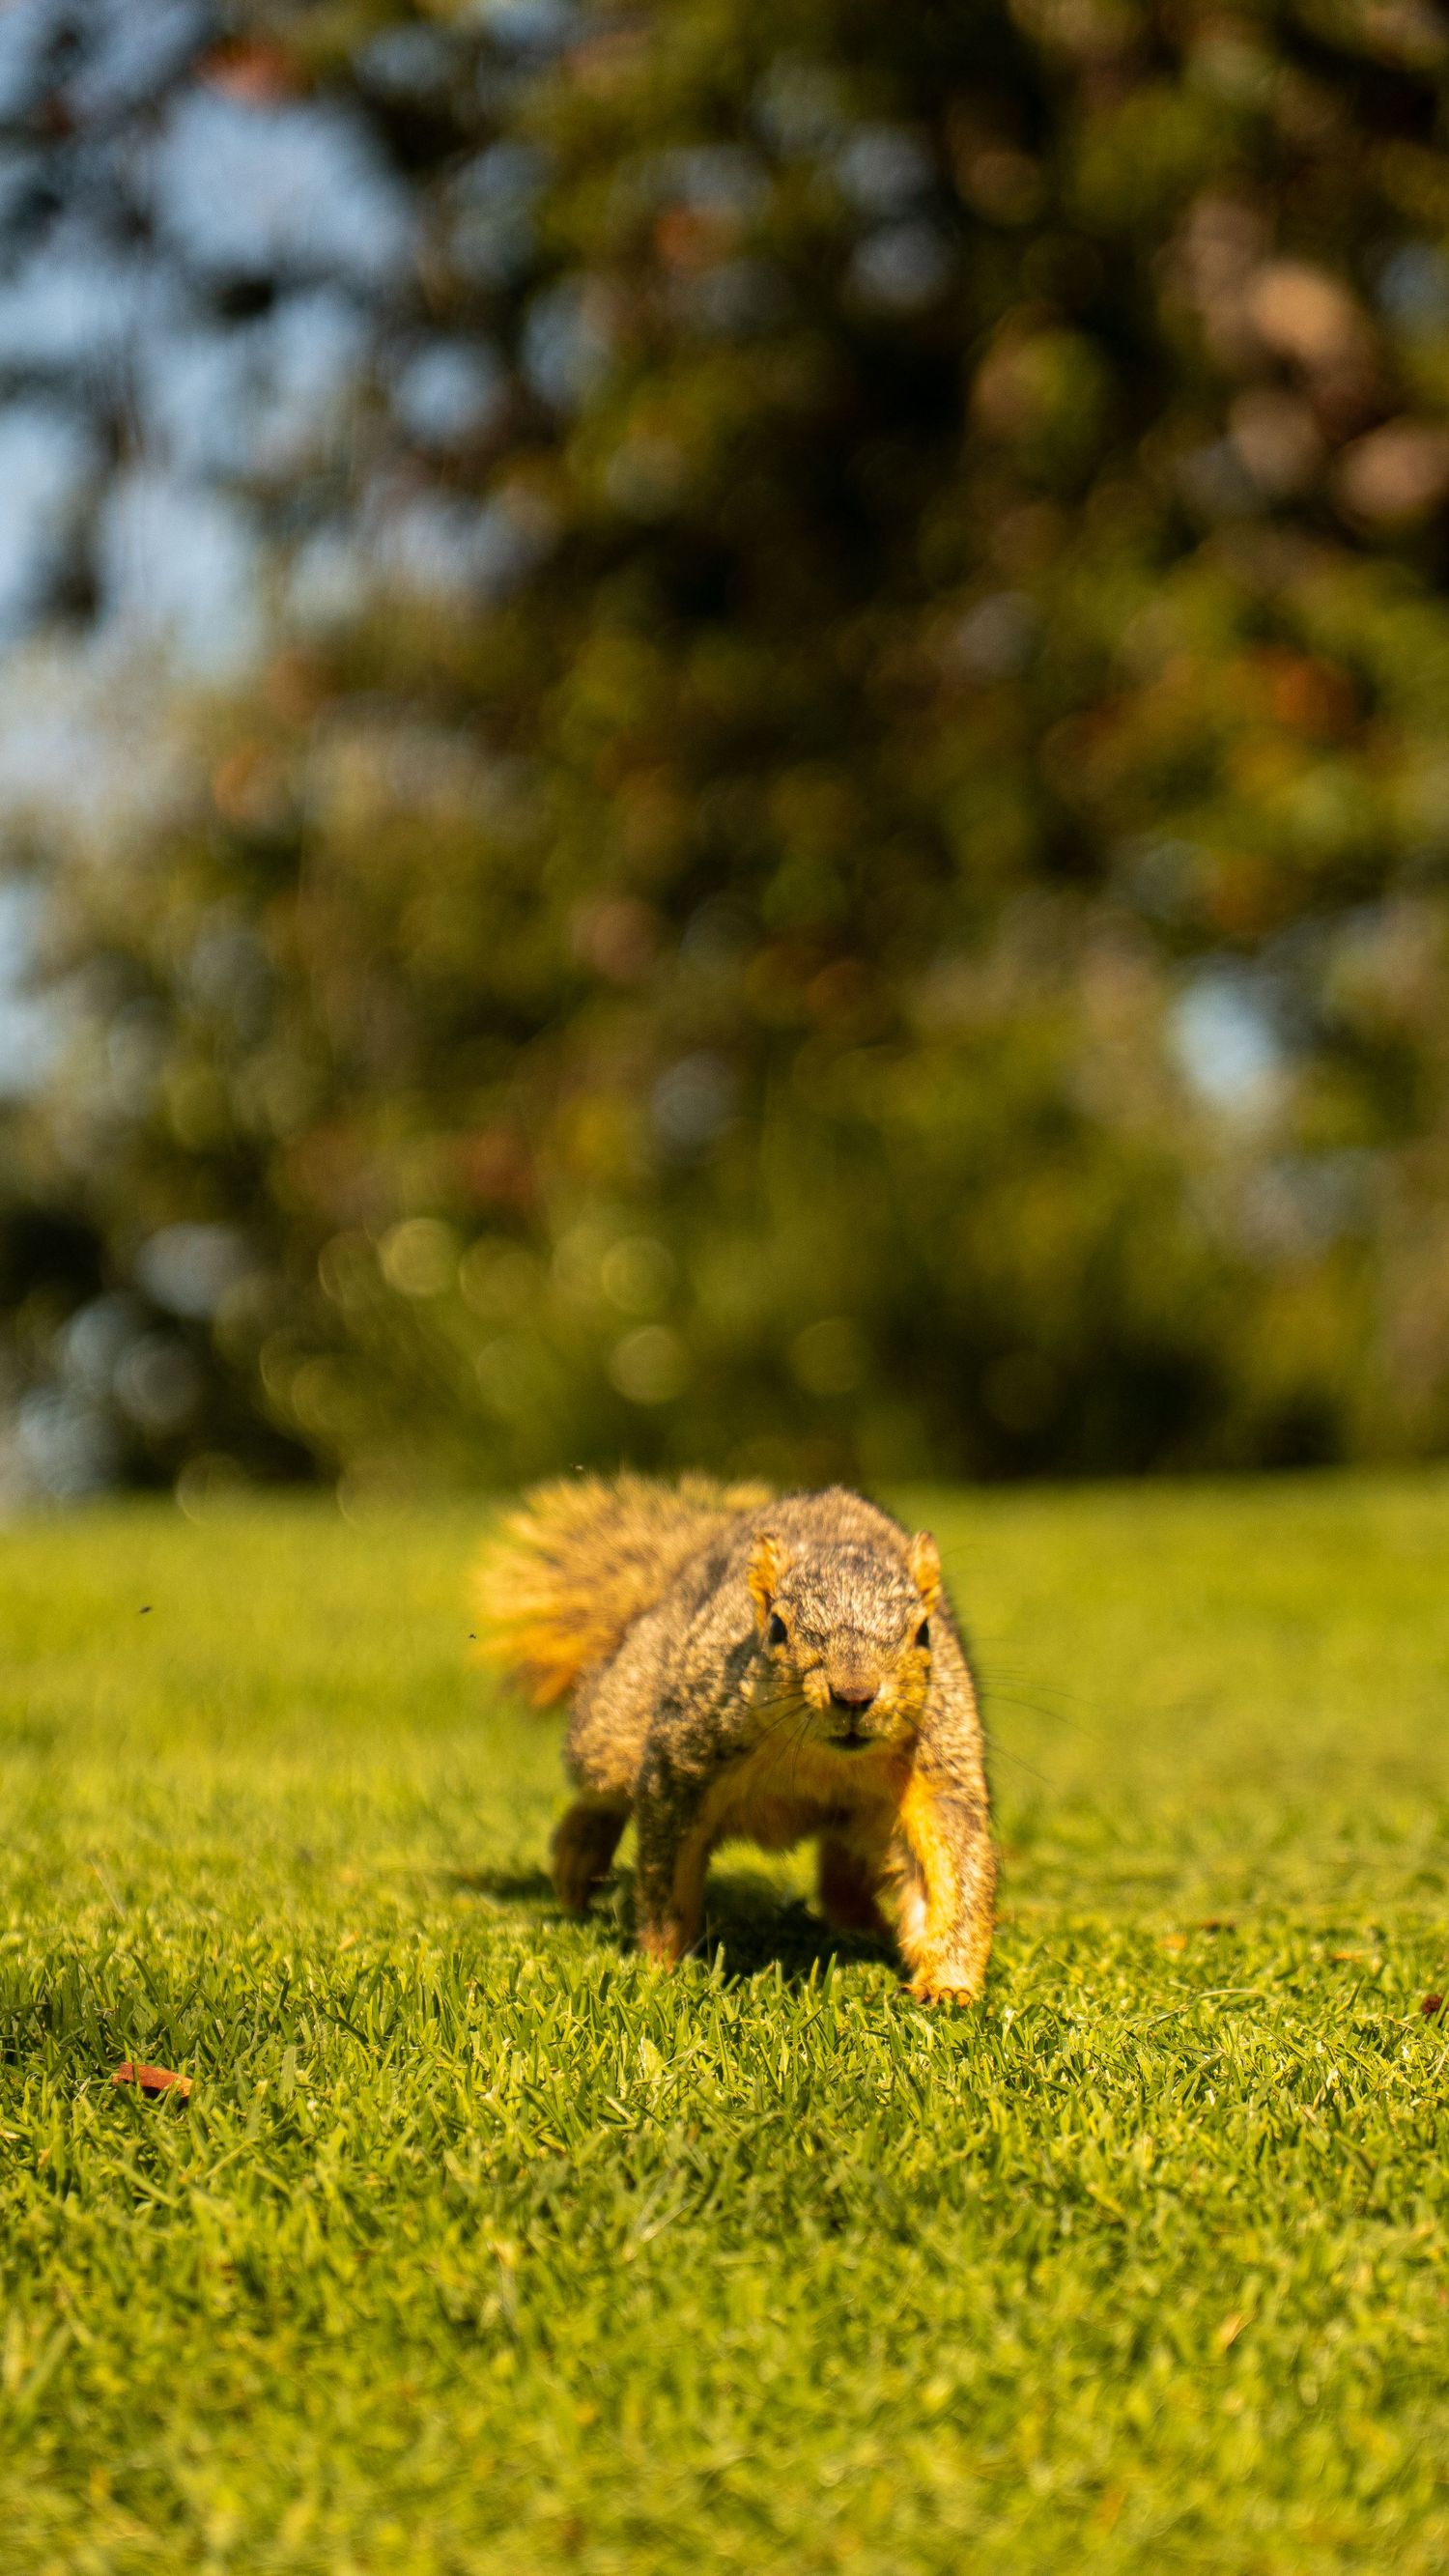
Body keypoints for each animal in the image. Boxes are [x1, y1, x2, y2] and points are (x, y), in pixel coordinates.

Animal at [475, 1473, 994, 2006]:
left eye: (925, 1632)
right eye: (777, 1627)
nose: (854, 1695)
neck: (824, 1759)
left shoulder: (935, 1776)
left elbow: (951, 1874)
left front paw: (946, 1983)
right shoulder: (680, 1765)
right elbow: (666, 1874)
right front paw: (662, 1966)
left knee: (843, 1865)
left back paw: (859, 1923)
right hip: (615, 1722)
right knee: (604, 1790)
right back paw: (579, 1858)